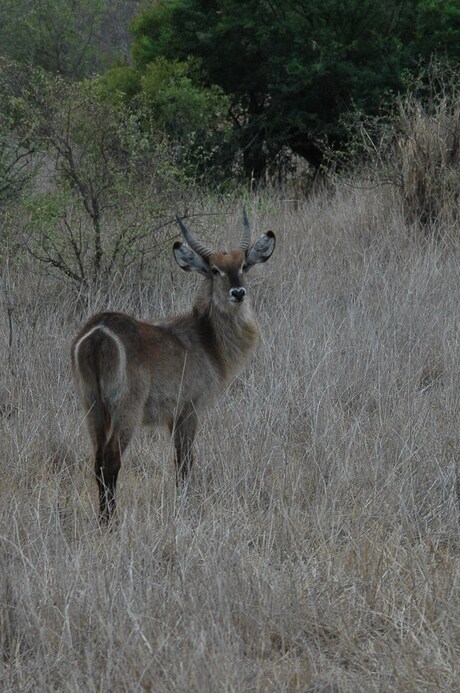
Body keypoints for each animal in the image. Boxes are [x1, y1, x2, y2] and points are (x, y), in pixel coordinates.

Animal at [70, 214, 274, 520]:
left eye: (243, 266)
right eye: (215, 270)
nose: (238, 292)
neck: (207, 338)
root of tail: (98, 332)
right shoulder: (189, 408)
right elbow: (185, 462)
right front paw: (187, 507)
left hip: (91, 405)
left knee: (96, 461)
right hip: (126, 409)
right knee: (111, 460)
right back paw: (111, 522)